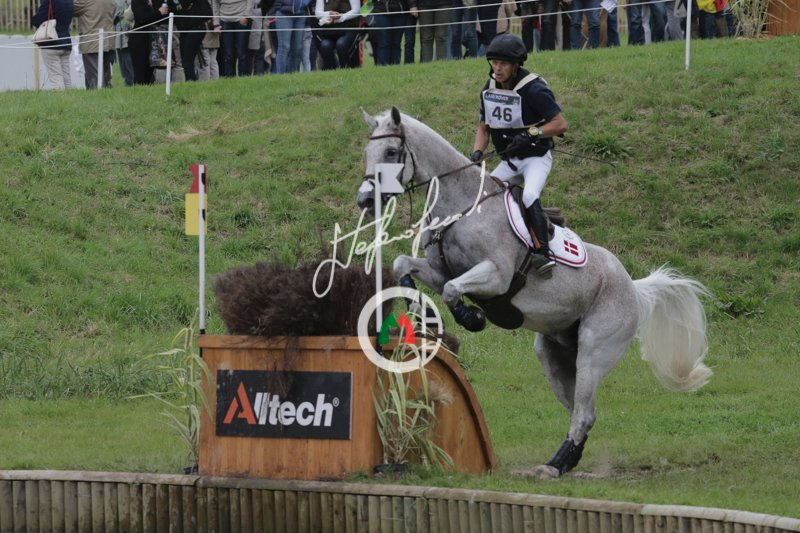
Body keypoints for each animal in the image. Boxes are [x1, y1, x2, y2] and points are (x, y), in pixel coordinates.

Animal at [356, 107, 713, 478]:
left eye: (391, 152)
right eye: (367, 153)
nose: (365, 200)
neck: (462, 206)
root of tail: (632, 286)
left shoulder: (495, 277)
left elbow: (455, 290)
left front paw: (472, 318)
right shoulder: (440, 272)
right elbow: (404, 265)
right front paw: (422, 311)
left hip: (595, 350)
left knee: (584, 412)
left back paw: (555, 465)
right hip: (554, 355)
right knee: (579, 411)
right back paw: (565, 461)